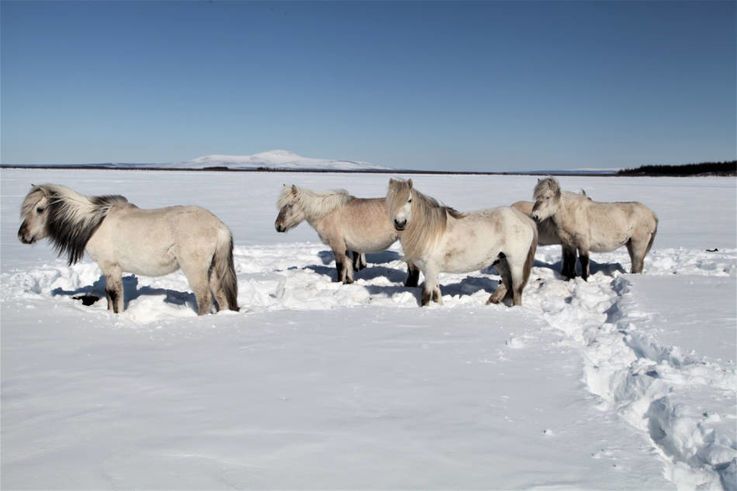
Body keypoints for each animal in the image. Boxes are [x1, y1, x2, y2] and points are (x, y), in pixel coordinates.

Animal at [18, 184, 238, 315]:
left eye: (39, 209)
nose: (22, 235)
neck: (95, 223)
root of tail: (219, 226)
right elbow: (109, 295)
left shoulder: (111, 267)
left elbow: (114, 295)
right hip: (212, 269)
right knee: (220, 295)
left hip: (195, 269)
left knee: (204, 298)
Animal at [275, 184, 419, 286]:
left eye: (289, 205)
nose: (278, 226)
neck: (327, 213)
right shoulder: (346, 247)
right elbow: (349, 266)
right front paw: (348, 282)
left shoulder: (337, 246)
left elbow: (340, 267)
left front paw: (339, 283)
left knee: (413, 269)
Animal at [386, 178, 538, 307]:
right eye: (389, 200)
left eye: (409, 200)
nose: (400, 223)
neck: (428, 231)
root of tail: (525, 219)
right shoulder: (431, 270)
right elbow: (437, 294)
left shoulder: (430, 269)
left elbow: (426, 296)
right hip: (500, 260)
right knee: (507, 283)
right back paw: (492, 301)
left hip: (516, 262)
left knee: (517, 288)